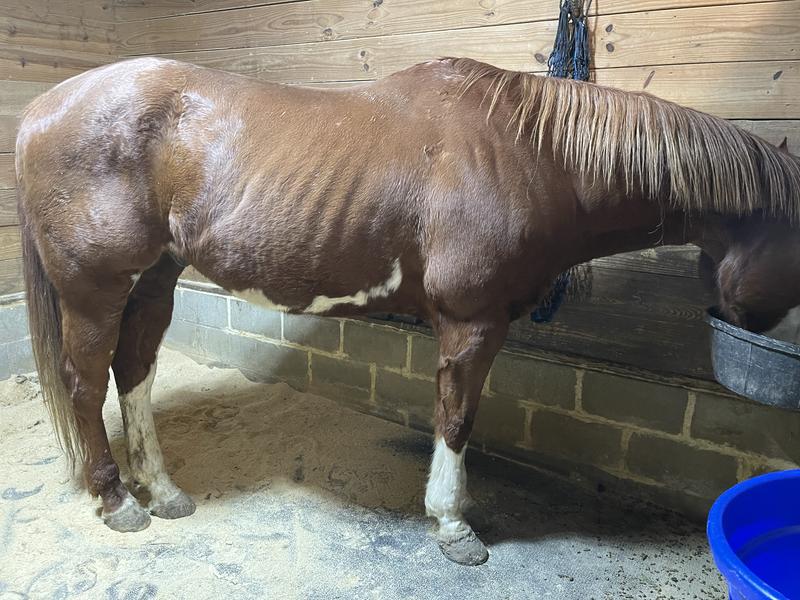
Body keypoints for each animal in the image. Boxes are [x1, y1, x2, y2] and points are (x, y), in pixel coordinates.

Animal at [15, 56, 800, 566]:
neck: (532, 154)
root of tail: (40, 110)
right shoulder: (473, 323)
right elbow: (456, 419)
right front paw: (453, 527)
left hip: (154, 282)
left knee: (134, 373)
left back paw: (163, 489)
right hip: (95, 290)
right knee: (86, 385)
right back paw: (118, 501)